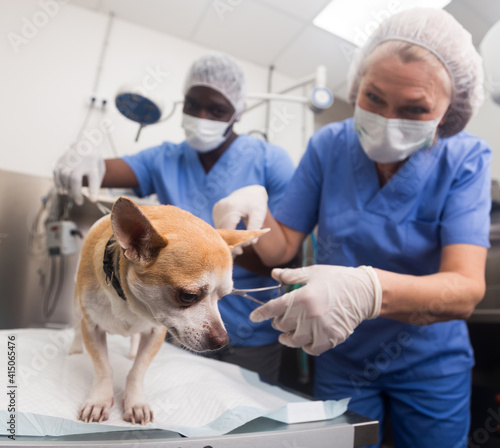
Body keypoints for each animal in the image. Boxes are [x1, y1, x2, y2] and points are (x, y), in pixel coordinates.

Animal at [69, 196, 270, 424]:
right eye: (189, 296)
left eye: (222, 297)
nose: (223, 340)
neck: (130, 305)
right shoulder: (92, 329)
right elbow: (103, 368)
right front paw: (99, 400)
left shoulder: (155, 333)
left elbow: (137, 370)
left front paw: (136, 402)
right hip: (77, 308)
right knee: (76, 327)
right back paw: (74, 349)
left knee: (134, 339)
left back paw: (132, 352)